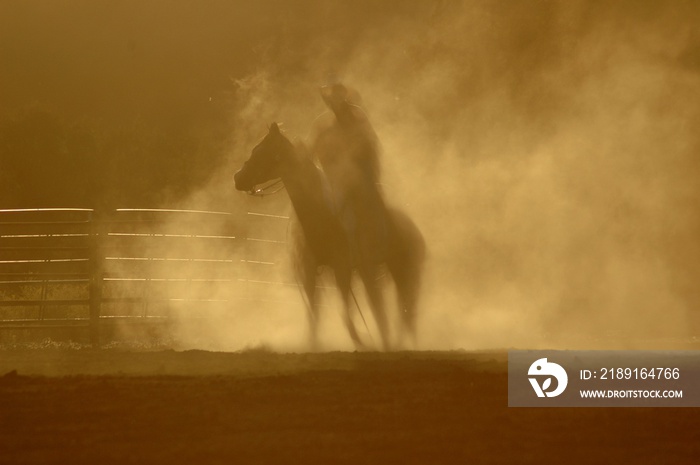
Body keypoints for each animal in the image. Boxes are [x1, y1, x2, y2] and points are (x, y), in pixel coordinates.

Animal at [235, 123, 424, 348]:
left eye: (263, 152)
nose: (237, 177)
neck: (323, 216)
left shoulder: (342, 269)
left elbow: (348, 321)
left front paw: (365, 341)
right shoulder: (310, 273)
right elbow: (314, 321)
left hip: (403, 271)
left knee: (403, 313)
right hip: (385, 270)